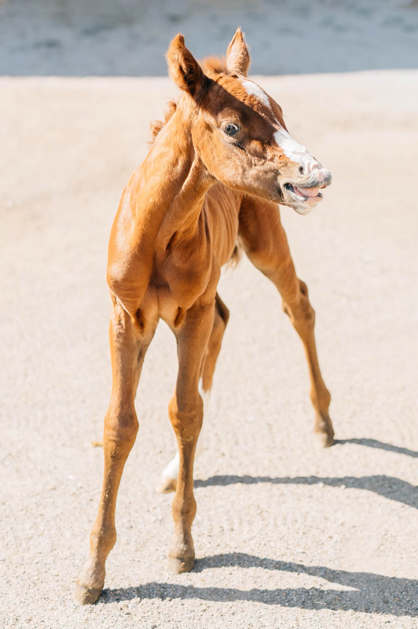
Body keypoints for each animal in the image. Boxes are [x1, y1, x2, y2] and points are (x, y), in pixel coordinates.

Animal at [75, 28, 334, 604]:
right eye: (233, 127)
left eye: (281, 113)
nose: (318, 175)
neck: (160, 233)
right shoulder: (124, 317)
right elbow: (119, 424)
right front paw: (92, 573)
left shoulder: (187, 311)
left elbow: (184, 411)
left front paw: (182, 546)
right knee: (224, 320)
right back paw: (176, 469)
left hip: (264, 239)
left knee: (297, 303)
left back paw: (323, 421)